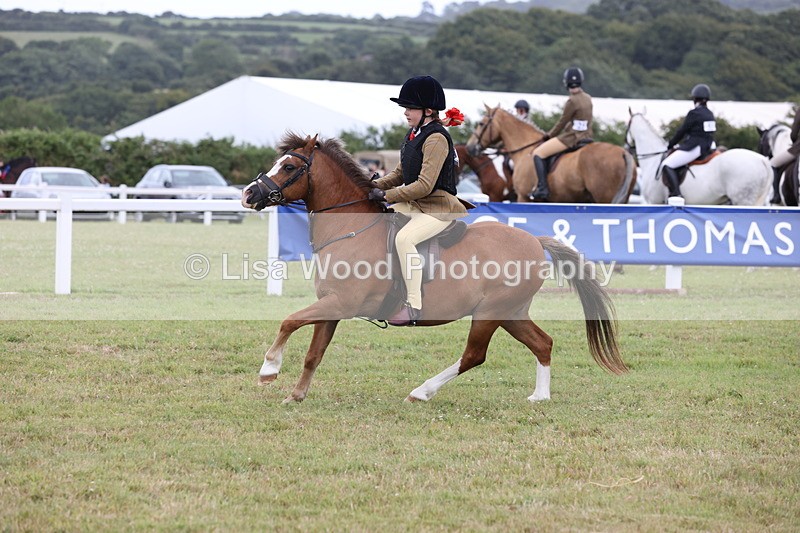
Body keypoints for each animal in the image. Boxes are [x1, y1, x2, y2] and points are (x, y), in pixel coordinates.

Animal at [240, 132, 627, 404]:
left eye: (289, 167)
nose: (248, 194)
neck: (349, 230)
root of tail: (535, 241)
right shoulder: (331, 306)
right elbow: (313, 354)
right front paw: (296, 394)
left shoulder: (341, 304)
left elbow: (289, 321)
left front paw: (268, 370)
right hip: (511, 311)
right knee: (542, 343)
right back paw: (540, 396)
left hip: (490, 312)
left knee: (474, 355)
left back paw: (421, 392)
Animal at [465, 105, 636, 204]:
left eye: (481, 123)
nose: (470, 147)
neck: (525, 149)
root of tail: (623, 153)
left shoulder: (523, 198)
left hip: (604, 197)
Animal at [626, 110, 772, 205]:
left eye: (628, 125)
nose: (626, 147)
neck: (653, 160)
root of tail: (762, 160)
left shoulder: (655, 202)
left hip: (743, 199)